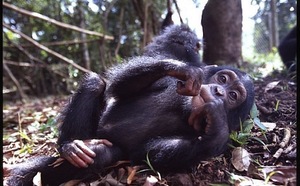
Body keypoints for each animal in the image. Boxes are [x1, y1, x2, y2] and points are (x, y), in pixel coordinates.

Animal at [5, 25, 254, 186]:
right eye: (223, 79)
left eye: (233, 95)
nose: (219, 91)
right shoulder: (171, 81)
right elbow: (120, 86)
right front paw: (182, 68)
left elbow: (152, 151)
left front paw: (217, 122)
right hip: (89, 131)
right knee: (95, 83)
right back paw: (69, 145)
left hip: (110, 148)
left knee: (100, 154)